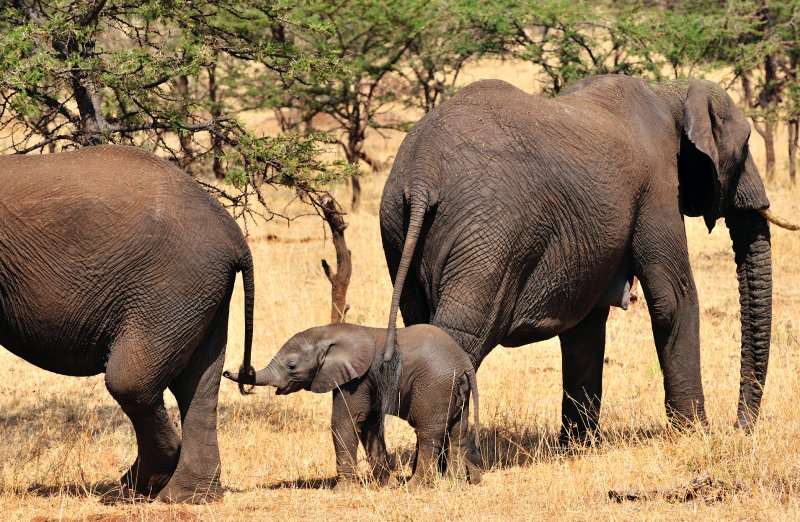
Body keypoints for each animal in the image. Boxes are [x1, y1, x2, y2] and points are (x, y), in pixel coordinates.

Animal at [0, 144, 256, 503]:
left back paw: (136, 489)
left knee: (131, 380)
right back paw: (185, 496)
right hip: (202, 292)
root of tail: (235, 236)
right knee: (197, 386)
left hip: (173, 289)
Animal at [223, 323, 481, 490]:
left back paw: (414, 488)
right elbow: (368, 425)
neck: (331, 332)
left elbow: (345, 421)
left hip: (435, 386)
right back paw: (456, 485)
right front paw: (386, 485)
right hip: (457, 391)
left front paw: (343, 490)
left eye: (292, 366)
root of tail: (465, 364)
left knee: (429, 434)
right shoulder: (370, 382)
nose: (226, 371)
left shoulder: (358, 378)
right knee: (458, 432)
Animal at [379, 75, 795, 442]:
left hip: (398, 227)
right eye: (745, 146)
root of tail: (422, 173)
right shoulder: (657, 188)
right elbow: (673, 300)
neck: (670, 92)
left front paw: (577, 446)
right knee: (459, 337)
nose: (738, 429)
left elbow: (585, 328)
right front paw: (697, 436)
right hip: (488, 233)